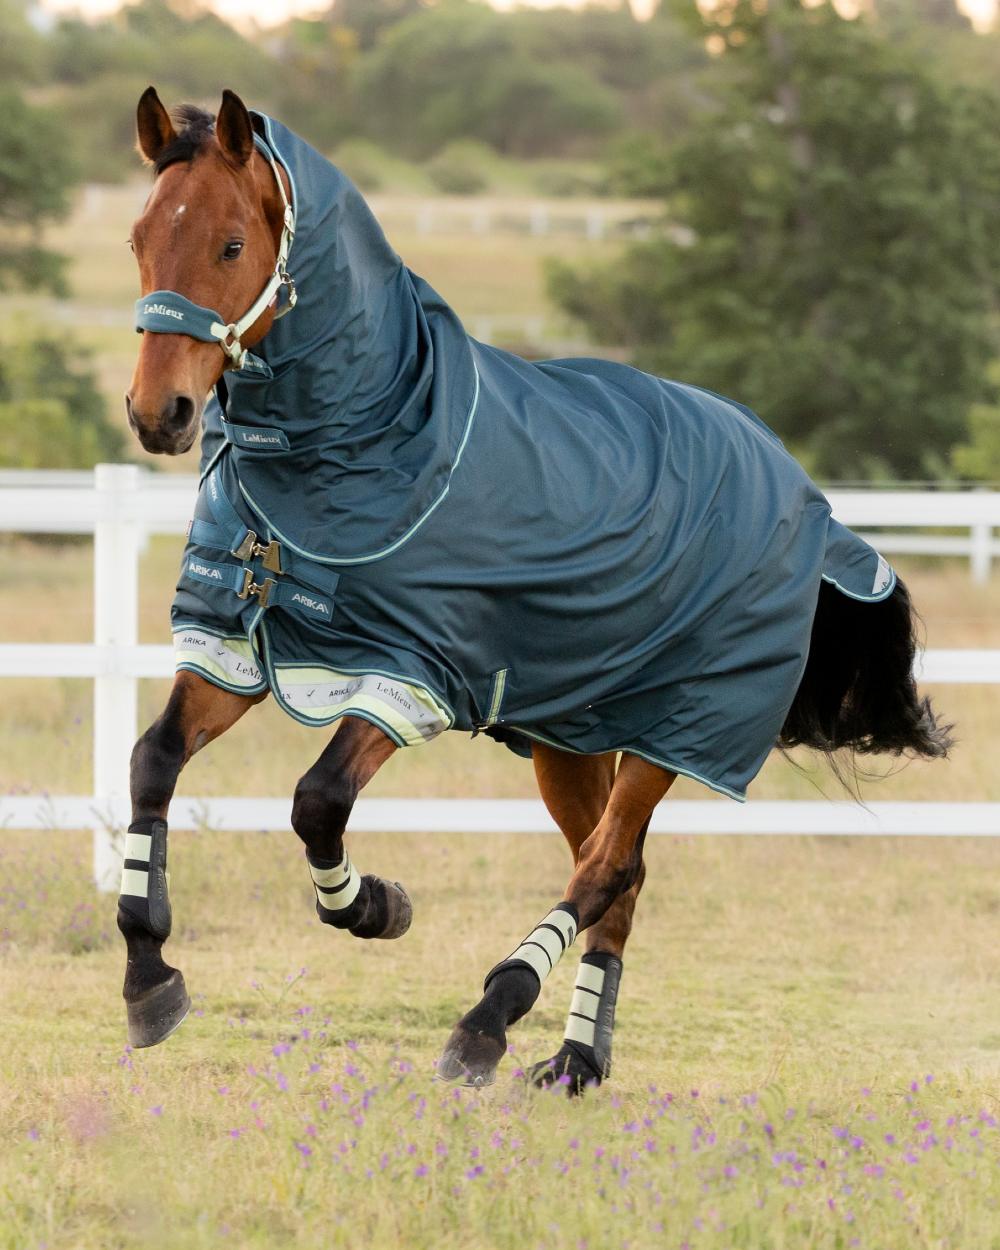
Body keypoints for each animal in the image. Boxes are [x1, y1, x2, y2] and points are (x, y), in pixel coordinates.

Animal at [122, 87, 951, 1092]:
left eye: (231, 245)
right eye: (138, 239)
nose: (158, 414)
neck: (378, 440)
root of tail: (800, 488)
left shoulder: (412, 674)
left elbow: (317, 800)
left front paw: (377, 906)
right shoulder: (236, 649)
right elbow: (154, 761)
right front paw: (149, 975)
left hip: (675, 732)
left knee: (602, 872)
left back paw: (489, 1018)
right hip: (573, 735)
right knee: (619, 881)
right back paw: (576, 1060)